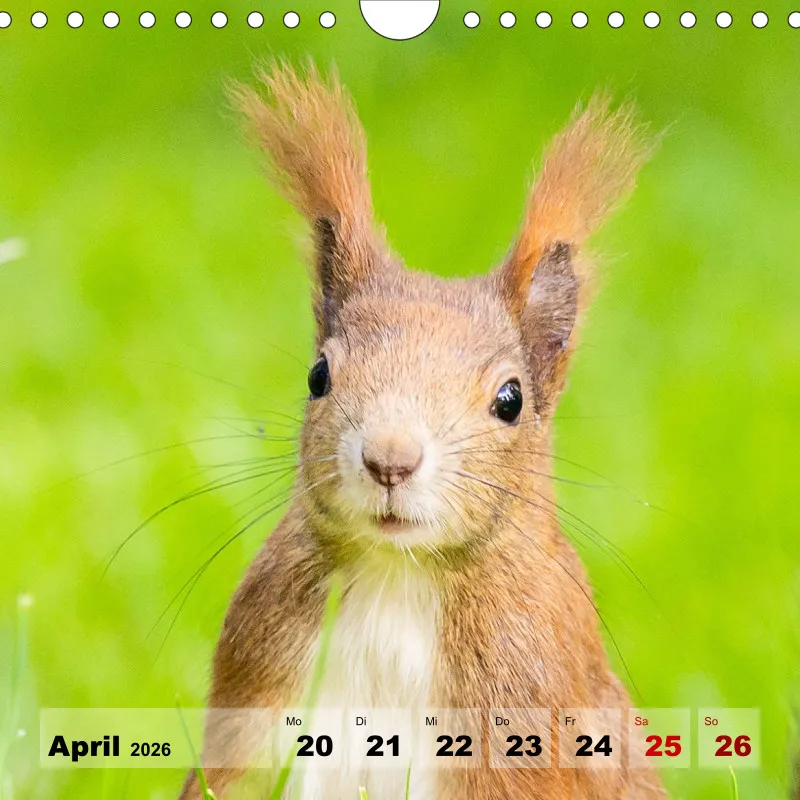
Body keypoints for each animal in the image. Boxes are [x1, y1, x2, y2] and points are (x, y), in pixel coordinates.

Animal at [179, 62, 665, 800]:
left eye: (510, 399)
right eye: (319, 375)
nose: (390, 459)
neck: (397, 577)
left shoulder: (527, 730)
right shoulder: (255, 710)